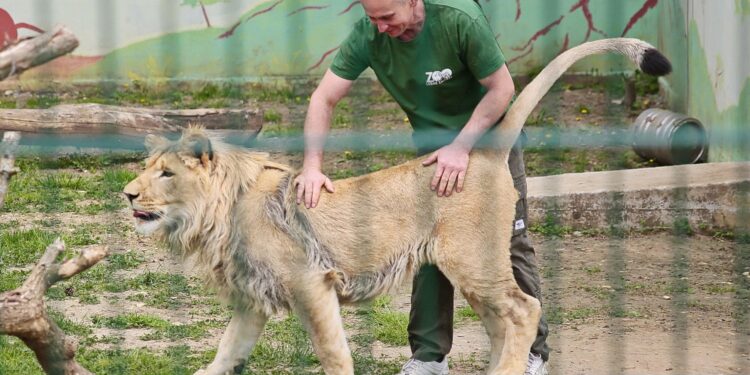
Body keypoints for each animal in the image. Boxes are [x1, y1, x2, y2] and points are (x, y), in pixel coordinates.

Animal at [125, 39, 676, 375]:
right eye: (147, 167)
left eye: (166, 174)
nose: (127, 194)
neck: (215, 216)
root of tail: (482, 152)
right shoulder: (251, 298)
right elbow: (226, 349)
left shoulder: (311, 282)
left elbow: (332, 351)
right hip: (468, 268)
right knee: (503, 319)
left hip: (473, 259)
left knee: (525, 309)